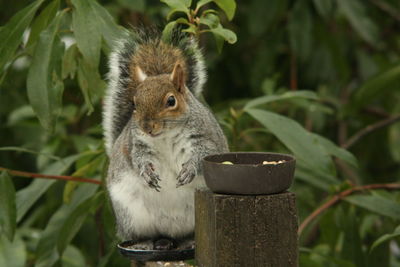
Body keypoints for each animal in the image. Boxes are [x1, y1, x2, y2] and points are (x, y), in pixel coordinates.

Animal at [103, 28, 228, 250]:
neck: (165, 136)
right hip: (132, 216)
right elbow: (137, 158)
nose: (147, 126)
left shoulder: (205, 138)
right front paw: (147, 173)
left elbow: (204, 154)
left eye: (171, 101)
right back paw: (145, 243)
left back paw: (189, 241)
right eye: (134, 103)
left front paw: (189, 170)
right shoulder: (136, 144)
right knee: (148, 235)